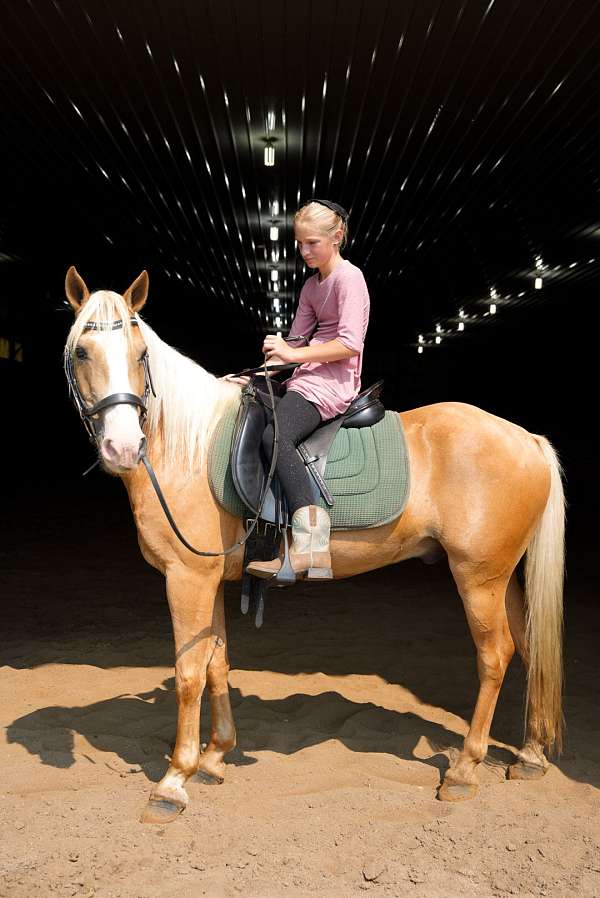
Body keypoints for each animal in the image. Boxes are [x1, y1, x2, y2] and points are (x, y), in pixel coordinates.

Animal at [63, 266, 565, 825]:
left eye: (140, 354)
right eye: (82, 352)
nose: (123, 448)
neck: (188, 448)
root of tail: (527, 439)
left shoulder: (187, 579)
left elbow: (189, 673)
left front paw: (174, 781)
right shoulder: (208, 580)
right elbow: (216, 662)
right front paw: (215, 757)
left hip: (478, 577)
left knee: (495, 655)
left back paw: (463, 769)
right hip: (504, 575)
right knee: (530, 647)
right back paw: (530, 755)